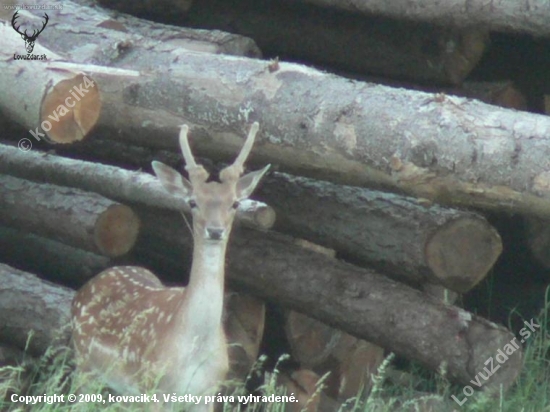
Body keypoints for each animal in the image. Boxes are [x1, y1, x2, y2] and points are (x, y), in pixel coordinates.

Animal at [72, 120, 270, 410]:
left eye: (235, 203)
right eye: (193, 202)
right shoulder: (153, 389)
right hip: (84, 363)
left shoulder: (207, 395)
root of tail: (85, 287)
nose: (215, 231)